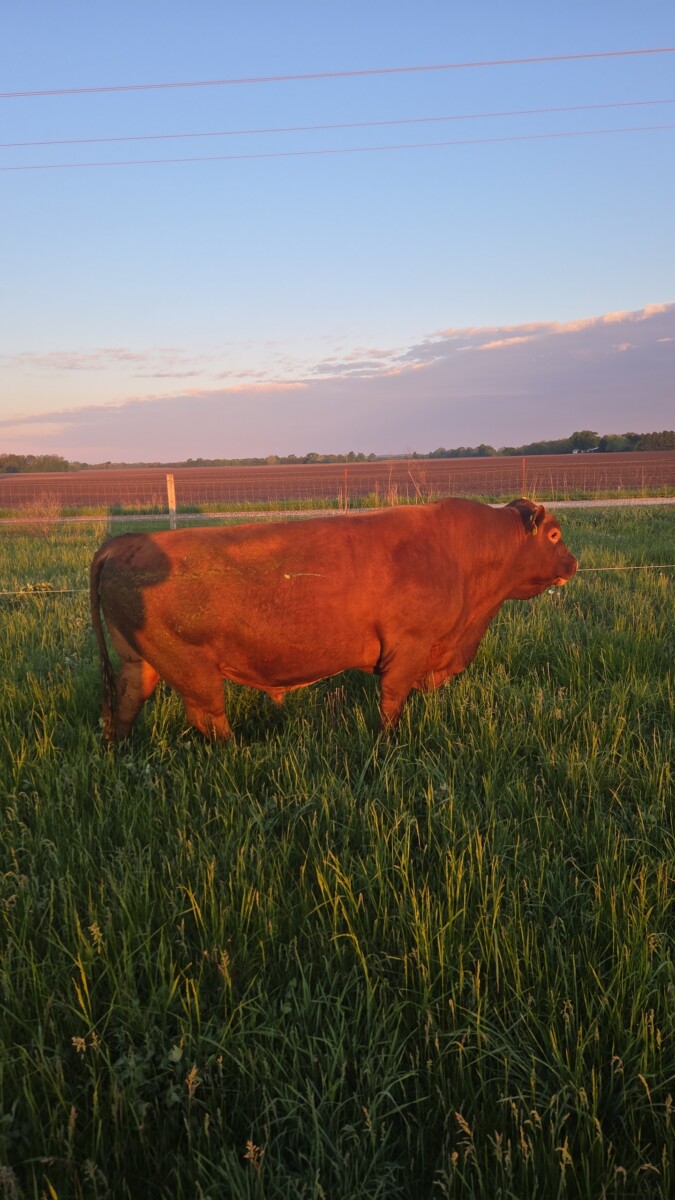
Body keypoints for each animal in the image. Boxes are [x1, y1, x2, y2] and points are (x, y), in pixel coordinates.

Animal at [89, 497, 577, 743]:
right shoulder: (408, 648)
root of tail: (126, 542)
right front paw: (387, 748)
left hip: (139, 662)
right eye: (554, 535)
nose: (573, 563)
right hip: (193, 671)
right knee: (211, 722)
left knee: (125, 710)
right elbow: (391, 705)